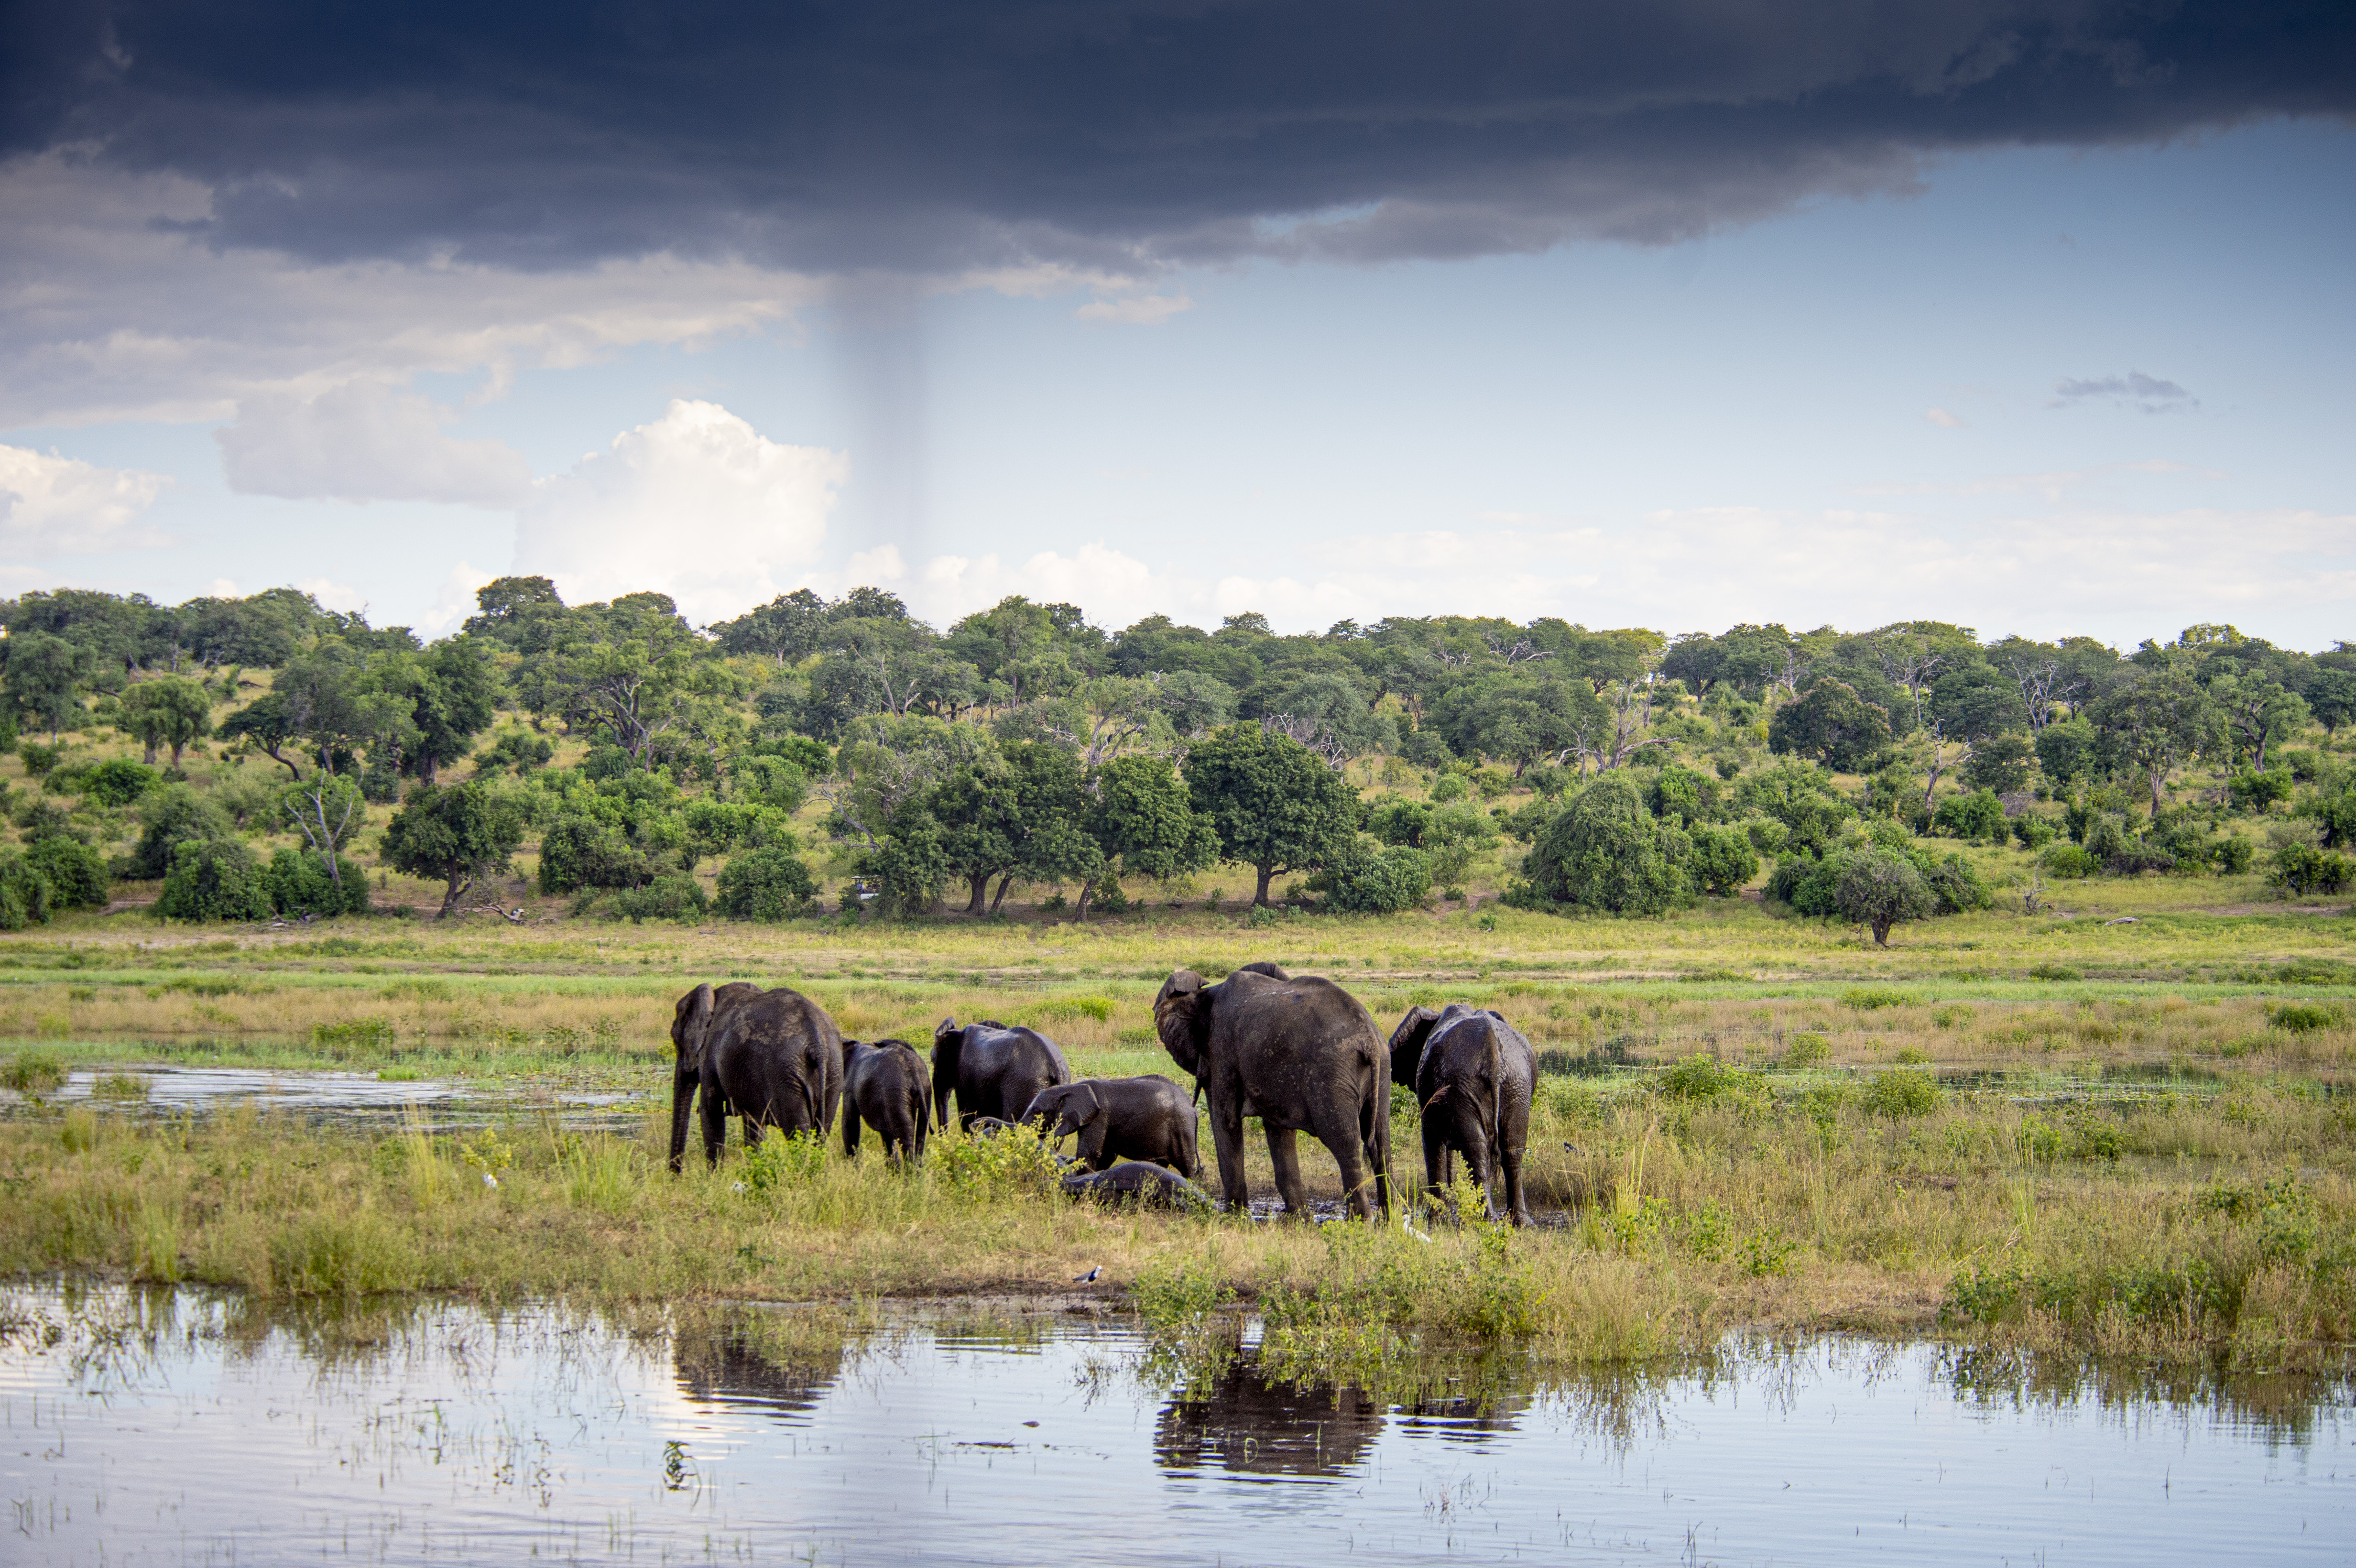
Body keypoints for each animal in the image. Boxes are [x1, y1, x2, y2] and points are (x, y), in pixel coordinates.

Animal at [669, 981, 844, 1170]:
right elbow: (752, 1123)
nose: (676, 1173)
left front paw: (715, 1177)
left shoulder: (709, 1055)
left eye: (676, 1041)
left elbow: (710, 1111)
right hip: (833, 1070)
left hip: (785, 1076)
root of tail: (817, 1044)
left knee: (798, 1132)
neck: (712, 996)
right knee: (822, 1130)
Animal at [841, 1038, 931, 1162]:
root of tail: (913, 1070)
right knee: (921, 1131)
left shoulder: (849, 1087)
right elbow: (887, 1134)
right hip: (925, 1087)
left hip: (896, 1090)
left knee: (906, 1133)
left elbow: (850, 1123)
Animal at [1022, 1075, 1200, 1178]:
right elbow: (1107, 1156)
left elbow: (1090, 1153)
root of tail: (1193, 1109)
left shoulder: (1099, 1118)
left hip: (1183, 1128)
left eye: (1037, 1112)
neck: (1071, 1088)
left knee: (1187, 1164)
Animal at [1153, 968, 1390, 1220]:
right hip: (1383, 1068)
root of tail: (1370, 1040)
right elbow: (1279, 1130)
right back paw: (1389, 1218)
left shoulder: (1223, 1050)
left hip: (1331, 1075)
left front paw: (1234, 1217)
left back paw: (1360, 1221)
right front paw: (1297, 1219)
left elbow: (1226, 1122)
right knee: (1381, 1143)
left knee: (1344, 1142)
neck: (1208, 994)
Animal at [1388, 1004, 1535, 1226]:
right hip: (1517, 1084)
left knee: (1475, 1147)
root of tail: (1493, 1052)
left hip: (1463, 1085)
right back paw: (1519, 1222)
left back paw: (1485, 1219)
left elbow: (1431, 1140)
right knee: (1512, 1148)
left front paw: (1435, 1218)